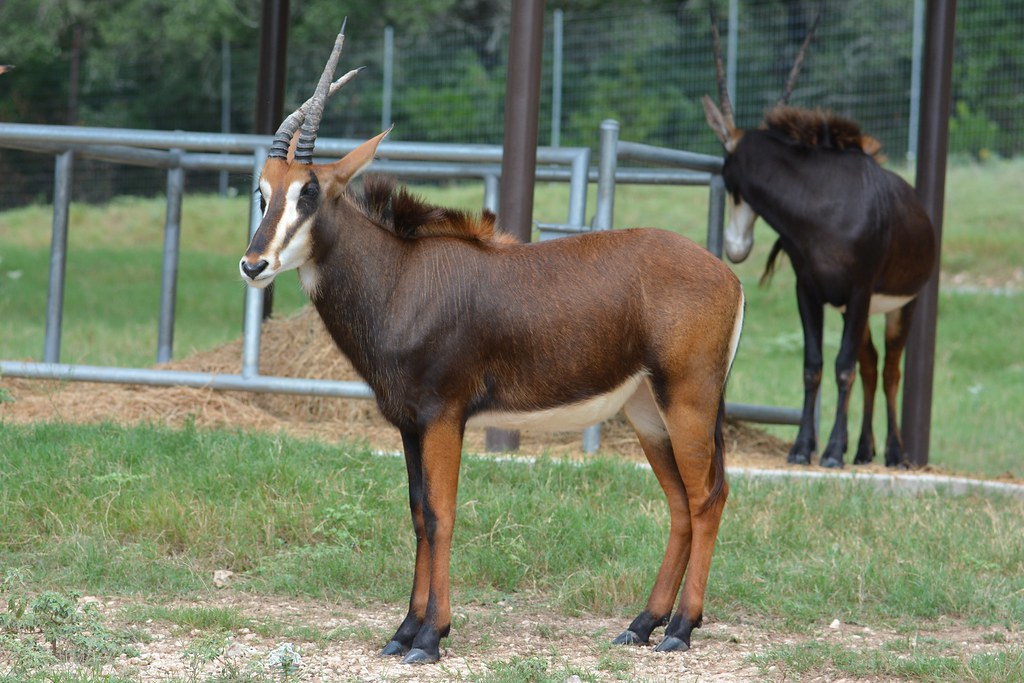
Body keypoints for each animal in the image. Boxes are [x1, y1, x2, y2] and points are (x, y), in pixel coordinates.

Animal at [240, 23, 745, 664]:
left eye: (308, 192)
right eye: (262, 190)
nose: (253, 265)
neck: (400, 276)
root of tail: (728, 278)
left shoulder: (444, 416)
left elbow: (442, 513)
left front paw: (430, 638)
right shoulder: (409, 423)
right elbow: (418, 515)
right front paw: (403, 631)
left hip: (688, 400)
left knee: (707, 497)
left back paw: (680, 629)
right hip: (648, 412)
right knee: (680, 503)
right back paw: (641, 624)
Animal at [702, 11, 936, 468]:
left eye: (727, 172)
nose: (737, 248)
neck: (824, 204)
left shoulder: (860, 290)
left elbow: (843, 367)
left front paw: (830, 452)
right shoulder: (808, 291)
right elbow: (813, 365)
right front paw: (802, 448)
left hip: (901, 304)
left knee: (890, 369)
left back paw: (894, 453)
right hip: (851, 311)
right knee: (871, 365)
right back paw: (863, 451)